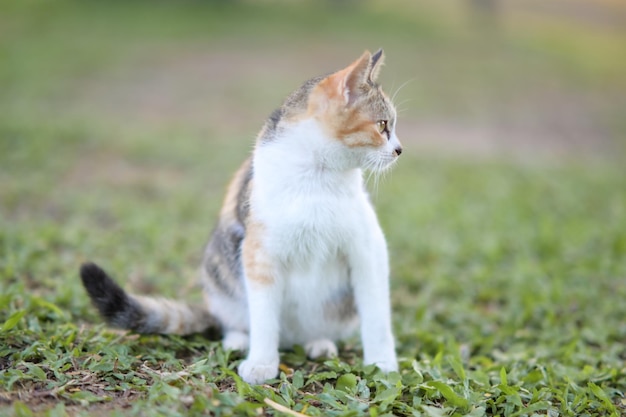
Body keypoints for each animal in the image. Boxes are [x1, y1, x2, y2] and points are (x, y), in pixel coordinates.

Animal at [79, 48, 400, 384]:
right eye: (382, 125)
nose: (399, 149)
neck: (318, 176)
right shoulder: (259, 252)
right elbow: (263, 317)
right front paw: (261, 363)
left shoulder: (368, 249)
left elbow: (377, 317)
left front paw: (382, 365)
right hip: (219, 277)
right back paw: (238, 339)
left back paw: (319, 343)